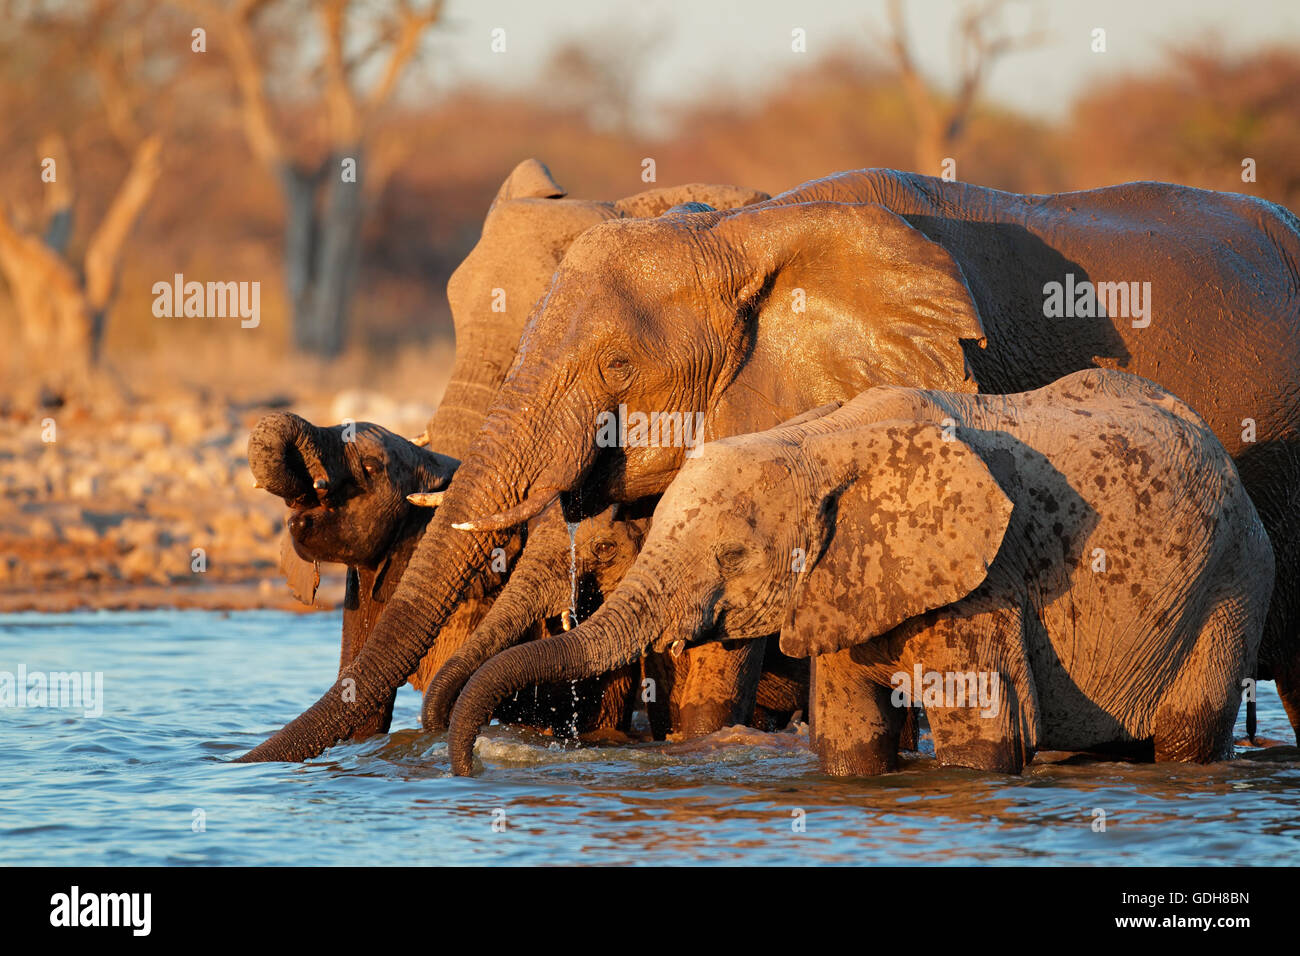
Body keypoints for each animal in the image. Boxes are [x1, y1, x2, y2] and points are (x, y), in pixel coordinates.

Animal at [447, 369, 1268, 780]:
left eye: (733, 557)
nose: (467, 771)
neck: (818, 441)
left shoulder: (981, 583)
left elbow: (982, 737)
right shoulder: (840, 585)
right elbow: (851, 740)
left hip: (1231, 584)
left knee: (1187, 729)